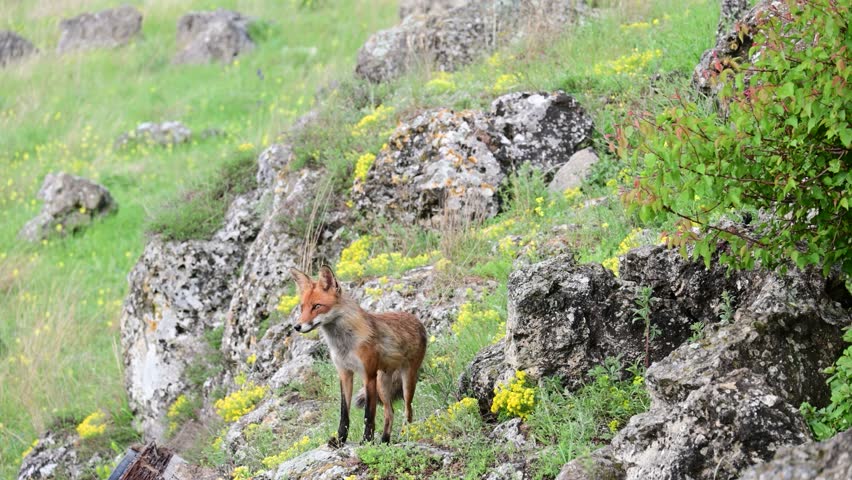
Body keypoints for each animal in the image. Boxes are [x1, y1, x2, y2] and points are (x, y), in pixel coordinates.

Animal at [289, 265, 427, 445]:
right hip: (383, 384)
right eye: (302, 307)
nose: (297, 326)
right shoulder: (345, 373)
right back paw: (385, 441)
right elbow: (344, 414)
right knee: (389, 413)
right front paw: (340, 440)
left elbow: (369, 415)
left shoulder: (368, 375)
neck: (343, 344)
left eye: (317, 306)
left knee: (408, 411)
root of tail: (417, 320)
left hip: (406, 381)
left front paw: (367, 441)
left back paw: (405, 435)